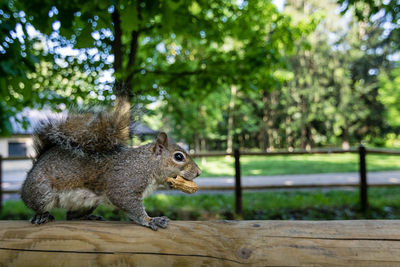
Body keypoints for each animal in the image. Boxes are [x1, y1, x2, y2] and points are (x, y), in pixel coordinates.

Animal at [20, 102, 202, 230]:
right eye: (178, 157)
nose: (199, 172)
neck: (146, 165)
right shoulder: (125, 184)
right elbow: (130, 205)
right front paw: (150, 220)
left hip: (87, 204)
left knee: (71, 216)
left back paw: (87, 217)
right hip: (41, 192)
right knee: (36, 206)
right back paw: (41, 216)